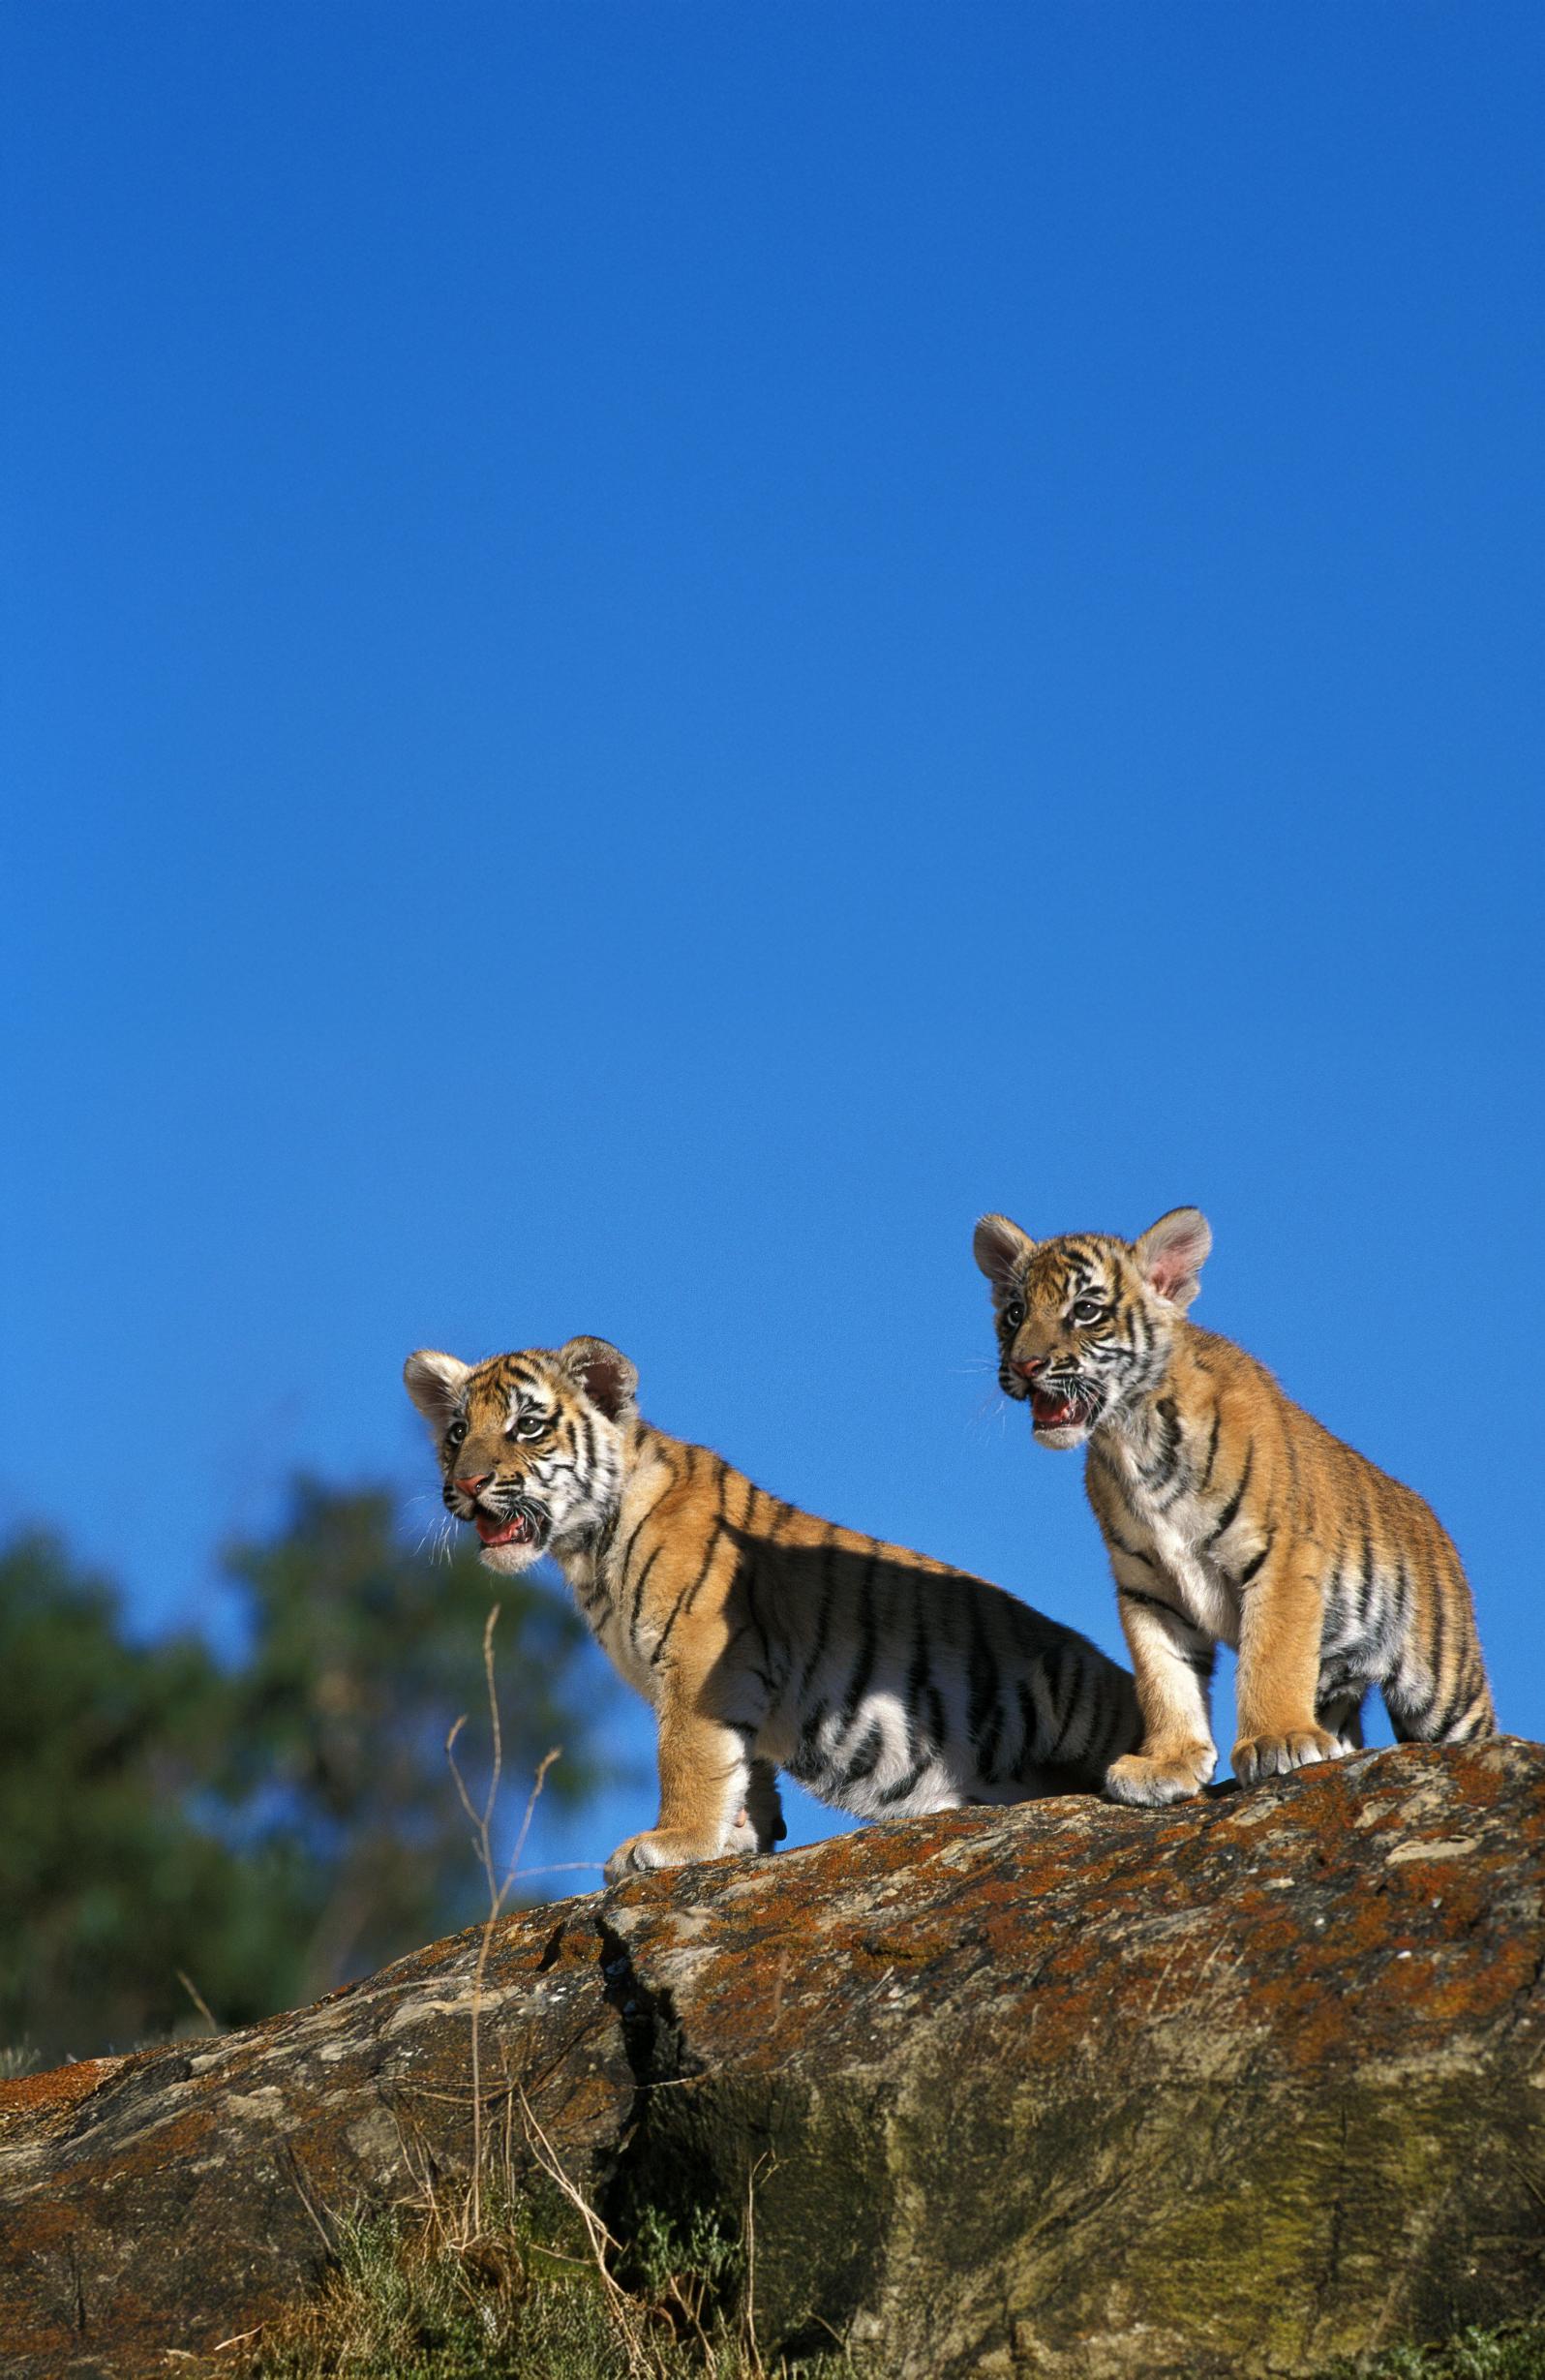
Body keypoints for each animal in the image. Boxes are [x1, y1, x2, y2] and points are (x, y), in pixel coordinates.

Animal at [404, 1335, 1141, 1880]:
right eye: (457, 1432)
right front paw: (738, 1836)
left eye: (527, 1426)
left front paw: (671, 1841)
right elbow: (741, 1762)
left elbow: (689, 1755)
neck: (584, 1551)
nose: (465, 1483)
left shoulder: (698, 1658)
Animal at [973, 1205, 1495, 1806]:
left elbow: (1271, 1657)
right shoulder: (1149, 1588)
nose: (1025, 1365)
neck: (1129, 1437)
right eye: (1015, 1313)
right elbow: (1165, 1676)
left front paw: (1277, 1740)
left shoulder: (1282, 1562)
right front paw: (1167, 1763)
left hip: (1445, 1686)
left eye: (1085, 1310)